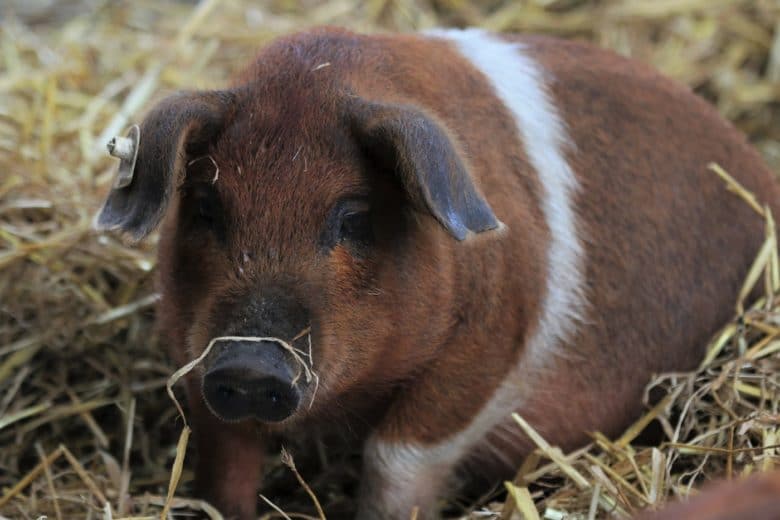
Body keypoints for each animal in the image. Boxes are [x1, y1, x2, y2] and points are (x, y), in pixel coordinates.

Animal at [96, 28, 780, 520]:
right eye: (206, 207)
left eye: (355, 217)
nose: (251, 363)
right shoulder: (193, 356)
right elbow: (224, 462)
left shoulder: (491, 346)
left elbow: (398, 460)